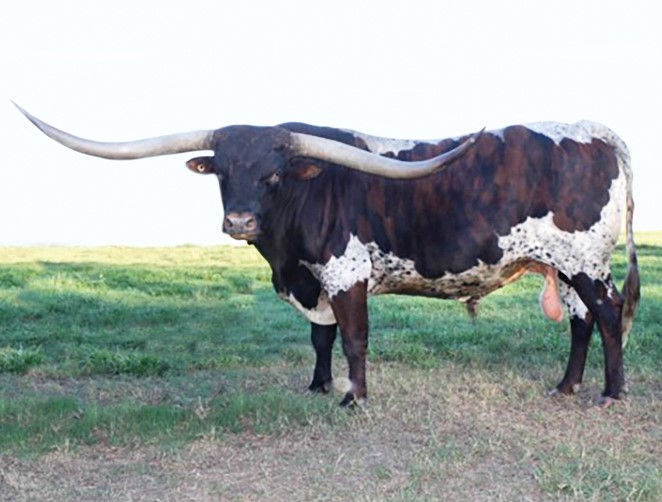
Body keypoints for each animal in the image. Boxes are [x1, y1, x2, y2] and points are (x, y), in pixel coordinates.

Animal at [15, 102, 640, 407]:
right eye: (221, 171)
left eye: (274, 173)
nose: (239, 222)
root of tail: (594, 129)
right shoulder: (311, 276)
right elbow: (321, 337)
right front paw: (318, 385)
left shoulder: (346, 272)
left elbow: (354, 337)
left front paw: (354, 397)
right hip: (565, 267)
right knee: (581, 322)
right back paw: (565, 386)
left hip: (586, 264)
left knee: (608, 317)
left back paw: (610, 393)